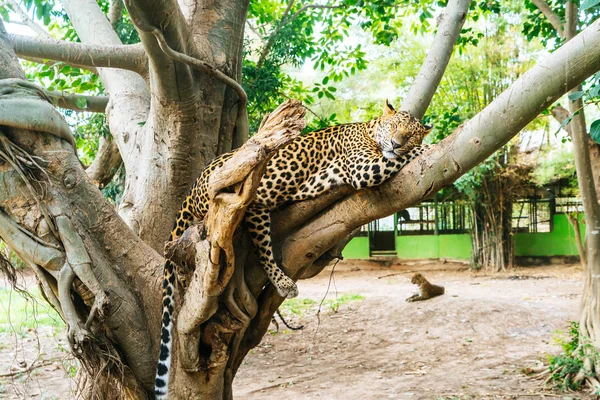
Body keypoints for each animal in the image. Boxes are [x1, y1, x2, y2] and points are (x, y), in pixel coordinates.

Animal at [156, 101, 432, 400]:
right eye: (394, 127)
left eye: (410, 134)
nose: (396, 143)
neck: (370, 130)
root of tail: (192, 187)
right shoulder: (362, 168)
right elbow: (396, 158)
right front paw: (426, 148)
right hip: (247, 200)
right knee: (263, 248)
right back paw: (284, 283)